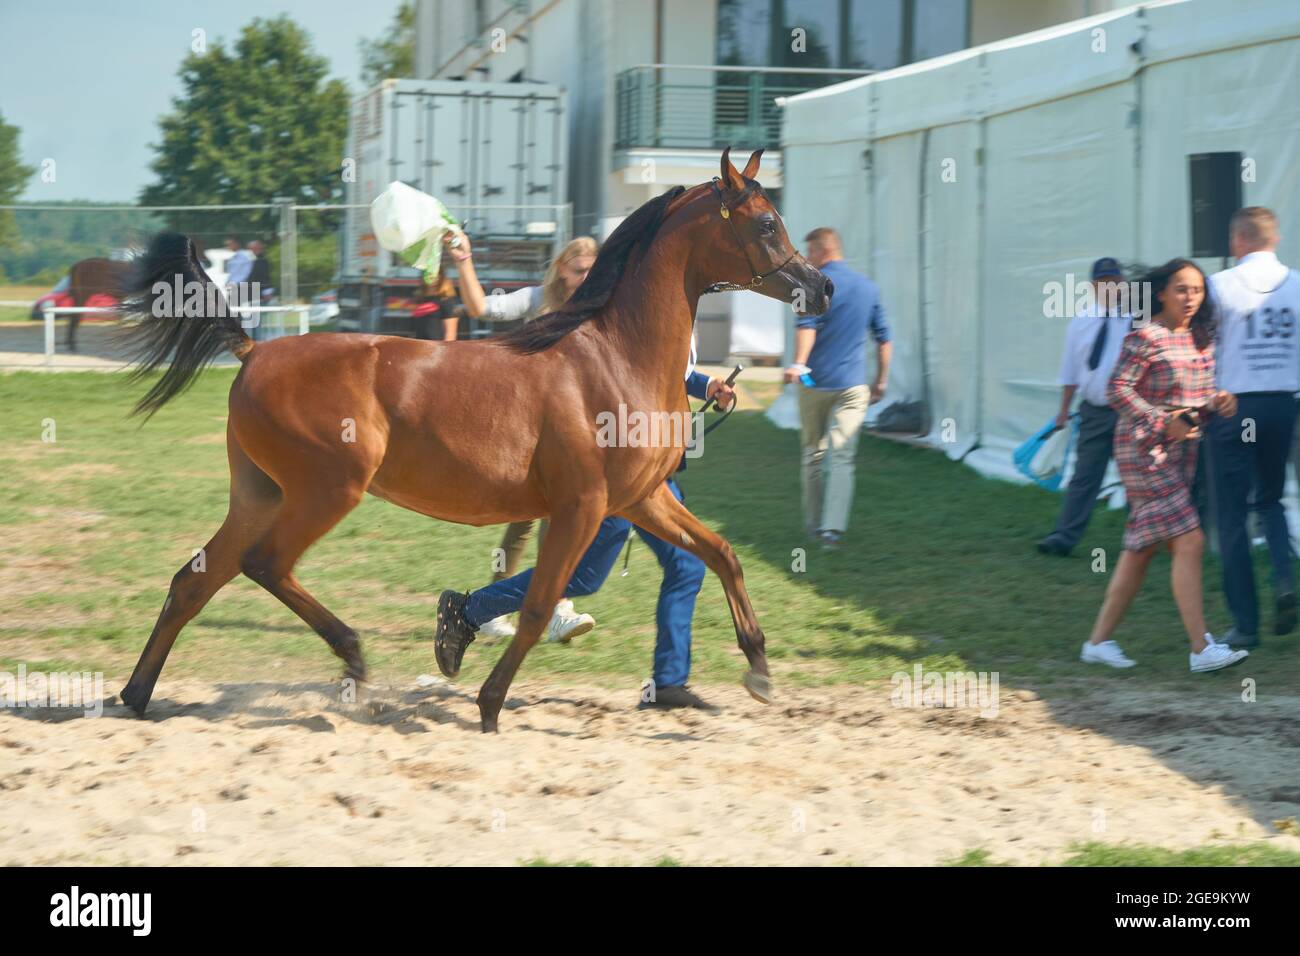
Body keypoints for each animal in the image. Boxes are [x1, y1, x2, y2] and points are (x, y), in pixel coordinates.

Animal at [119, 149, 832, 733]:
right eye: (765, 224)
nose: (820, 287)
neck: (613, 359)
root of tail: (254, 351)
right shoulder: (582, 507)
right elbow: (539, 603)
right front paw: (489, 704)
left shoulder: (641, 500)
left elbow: (722, 554)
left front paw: (759, 671)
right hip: (326, 490)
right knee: (264, 564)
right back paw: (354, 660)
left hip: (261, 493)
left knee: (194, 580)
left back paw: (135, 695)